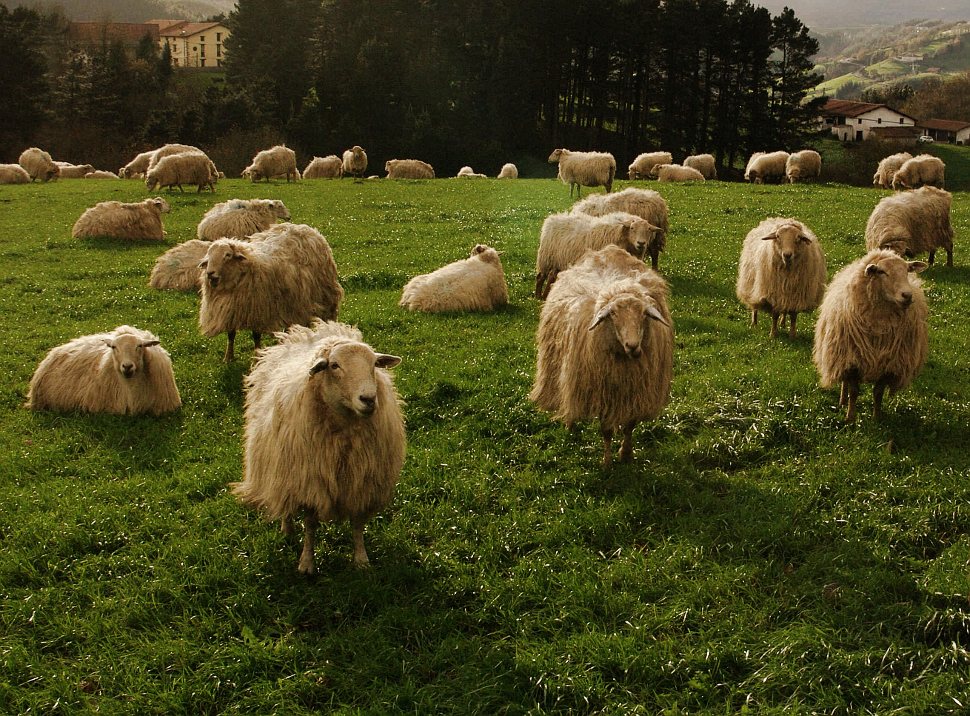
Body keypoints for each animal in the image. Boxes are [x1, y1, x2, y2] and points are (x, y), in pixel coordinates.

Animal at [198, 222, 344, 362]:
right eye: (209, 257)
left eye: (227, 255)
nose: (210, 273)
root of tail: (307, 229)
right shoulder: (231, 311)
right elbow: (231, 335)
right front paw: (228, 357)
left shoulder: (258, 312)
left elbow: (256, 336)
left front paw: (256, 358)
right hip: (291, 302)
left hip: (324, 296)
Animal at [233, 319, 405, 572]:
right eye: (334, 365)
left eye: (374, 364)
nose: (368, 399)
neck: (344, 429)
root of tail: (314, 332)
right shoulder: (310, 481)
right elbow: (310, 525)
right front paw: (307, 562)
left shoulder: (361, 480)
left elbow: (357, 523)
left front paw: (361, 559)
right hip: (283, 466)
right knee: (284, 497)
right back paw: (287, 528)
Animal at [530, 245, 673, 467]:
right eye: (613, 314)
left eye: (643, 314)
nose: (633, 346)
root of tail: (607, 249)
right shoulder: (603, 393)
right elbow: (606, 431)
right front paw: (607, 462)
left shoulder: (637, 393)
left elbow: (630, 426)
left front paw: (626, 453)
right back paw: (570, 423)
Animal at [812, 249, 928, 422]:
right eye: (882, 272)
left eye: (907, 271)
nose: (907, 296)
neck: (879, 326)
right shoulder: (852, 361)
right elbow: (853, 391)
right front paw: (850, 418)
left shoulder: (889, 364)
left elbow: (878, 393)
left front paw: (877, 418)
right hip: (841, 354)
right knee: (844, 383)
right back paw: (842, 401)